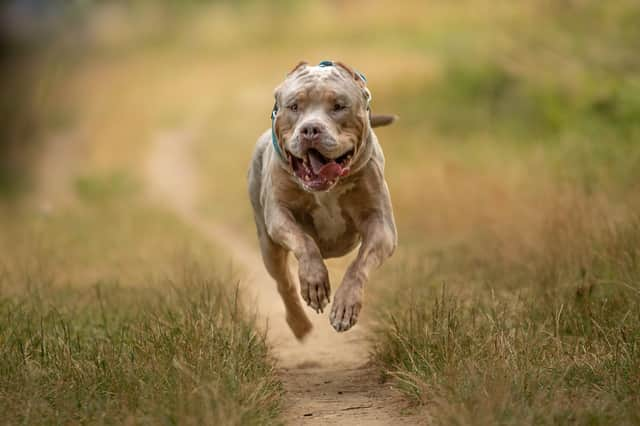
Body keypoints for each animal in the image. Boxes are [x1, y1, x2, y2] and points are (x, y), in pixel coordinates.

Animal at [249, 60, 396, 340]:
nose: (310, 129)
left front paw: (345, 306)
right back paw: (299, 325)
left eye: (339, 106)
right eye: (294, 107)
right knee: (284, 283)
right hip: (268, 245)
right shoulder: (278, 215)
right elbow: (304, 242)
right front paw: (314, 282)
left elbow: (359, 265)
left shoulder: (382, 227)